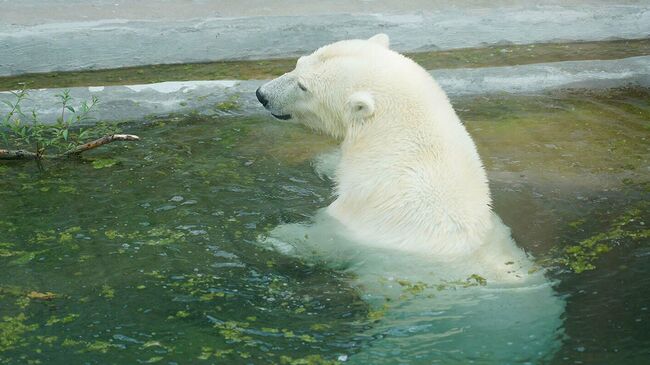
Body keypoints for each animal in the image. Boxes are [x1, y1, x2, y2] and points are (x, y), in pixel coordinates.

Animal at [253, 33, 560, 362]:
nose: (261, 94)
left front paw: (276, 236)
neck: (407, 152)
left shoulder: (370, 215)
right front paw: (325, 162)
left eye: (303, 86)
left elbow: (328, 237)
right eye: (298, 64)